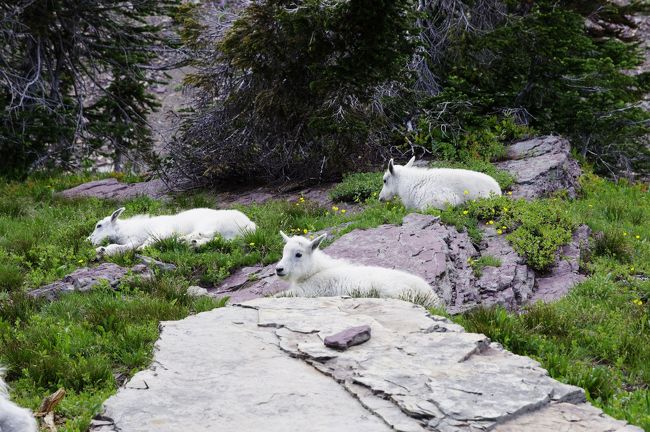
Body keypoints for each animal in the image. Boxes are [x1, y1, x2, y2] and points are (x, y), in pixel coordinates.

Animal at [88, 207, 256, 255]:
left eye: (99, 225)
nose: (89, 240)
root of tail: (248, 224)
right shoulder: (132, 240)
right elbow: (120, 247)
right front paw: (102, 250)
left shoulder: (161, 231)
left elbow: (148, 242)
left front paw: (144, 248)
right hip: (230, 237)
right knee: (214, 240)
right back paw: (193, 243)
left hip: (208, 224)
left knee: (206, 233)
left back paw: (184, 240)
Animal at [274, 231, 440, 308]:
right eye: (283, 251)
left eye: (298, 254)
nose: (279, 269)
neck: (315, 270)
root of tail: (431, 296)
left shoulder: (308, 291)